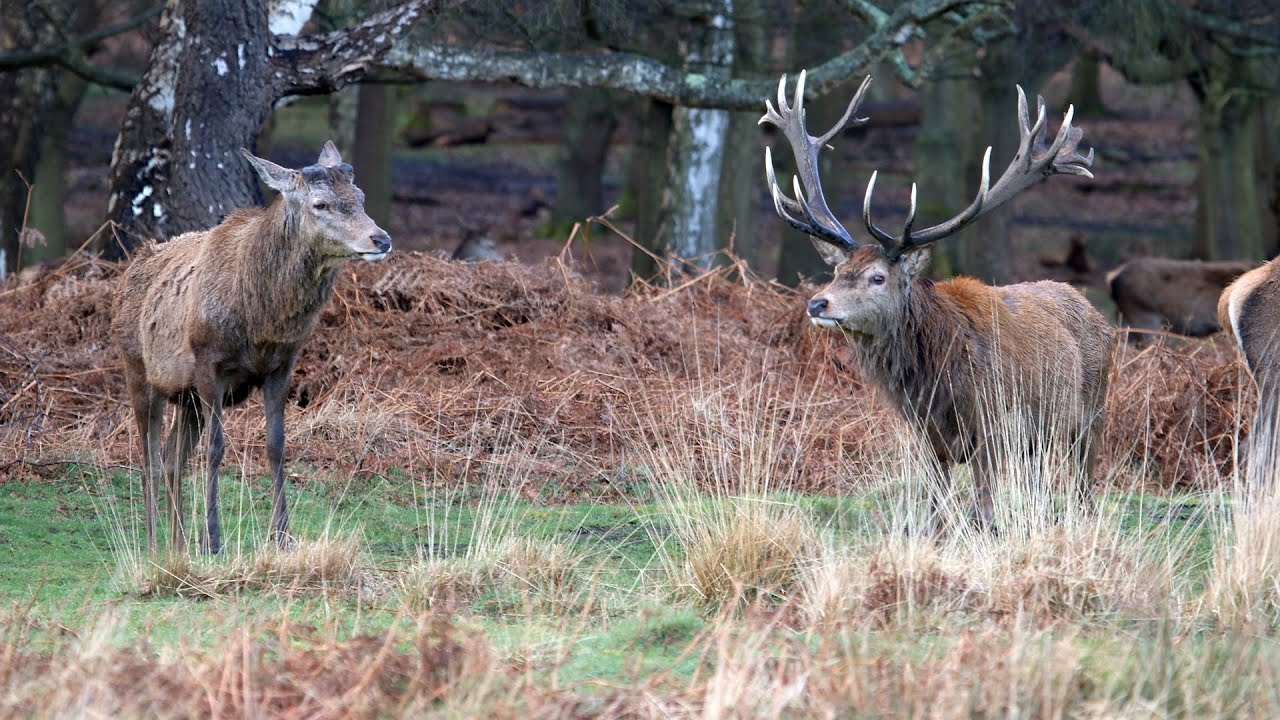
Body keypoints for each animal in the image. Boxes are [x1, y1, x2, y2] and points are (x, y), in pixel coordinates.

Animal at [111, 142, 391, 554]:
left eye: (360, 197)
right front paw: (213, 540)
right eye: (320, 203)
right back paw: (153, 546)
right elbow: (216, 449)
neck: (261, 320)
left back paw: (179, 546)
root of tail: (130, 269)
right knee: (148, 457)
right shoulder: (209, 363)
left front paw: (283, 537)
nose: (380, 239)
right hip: (139, 370)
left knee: (171, 457)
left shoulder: (281, 365)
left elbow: (276, 446)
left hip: (186, 396)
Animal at [760, 72, 1113, 534]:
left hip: (1091, 416)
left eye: (878, 277)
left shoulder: (992, 428)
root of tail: (1096, 313)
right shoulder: (927, 438)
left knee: (1084, 485)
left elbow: (983, 512)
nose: (818, 304)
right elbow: (935, 512)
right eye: (837, 272)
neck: (935, 380)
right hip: (1038, 441)